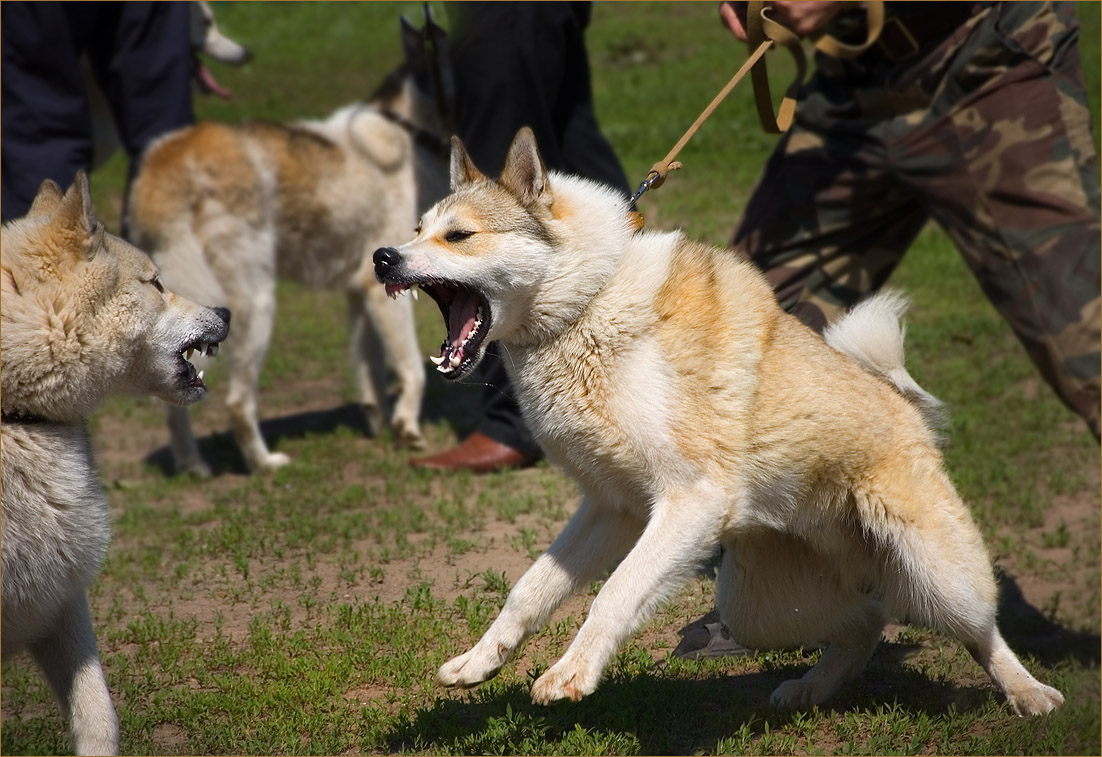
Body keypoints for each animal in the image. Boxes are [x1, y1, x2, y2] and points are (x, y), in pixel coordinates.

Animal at [130, 17, 451, 473]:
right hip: (256, 305)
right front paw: (408, 430)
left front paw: (379, 425)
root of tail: (172, 156)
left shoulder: (361, 292)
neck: (407, 128)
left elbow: (369, 371)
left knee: (175, 405)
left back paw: (195, 469)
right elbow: (413, 371)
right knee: (237, 402)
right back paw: (264, 464)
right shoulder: (386, 293)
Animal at [374, 128, 1062, 718]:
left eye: (460, 236)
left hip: (935, 576)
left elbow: (614, 593)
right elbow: (530, 589)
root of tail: (898, 400)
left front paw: (569, 675)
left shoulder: (688, 500)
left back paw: (1029, 694)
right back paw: (810, 689)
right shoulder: (612, 508)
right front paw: (477, 662)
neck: (587, 307)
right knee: (864, 622)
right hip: (760, 607)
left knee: (978, 629)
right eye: (417, 230)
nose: (382, 258)